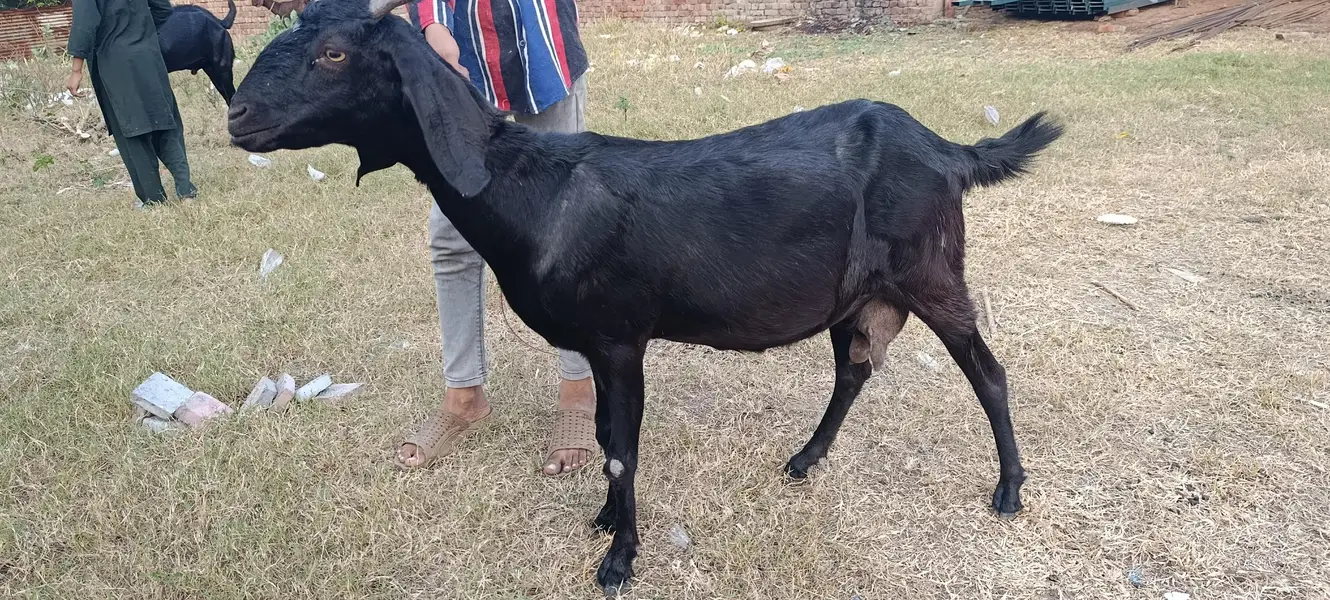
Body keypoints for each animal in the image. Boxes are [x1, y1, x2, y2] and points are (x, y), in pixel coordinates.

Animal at [226, 0, 1063, 592]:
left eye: (335, 54)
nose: (238, 116)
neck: (535, 191)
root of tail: (948, 150)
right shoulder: (598, 347)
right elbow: (601, 438)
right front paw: (603, 523)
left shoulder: (621, 337)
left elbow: (622, 450)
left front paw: (619, 562)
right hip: (855, 293)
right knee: (854, 367)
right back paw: (805, 458)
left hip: (932, 274)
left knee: (987, 372)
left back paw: (1009, 489)